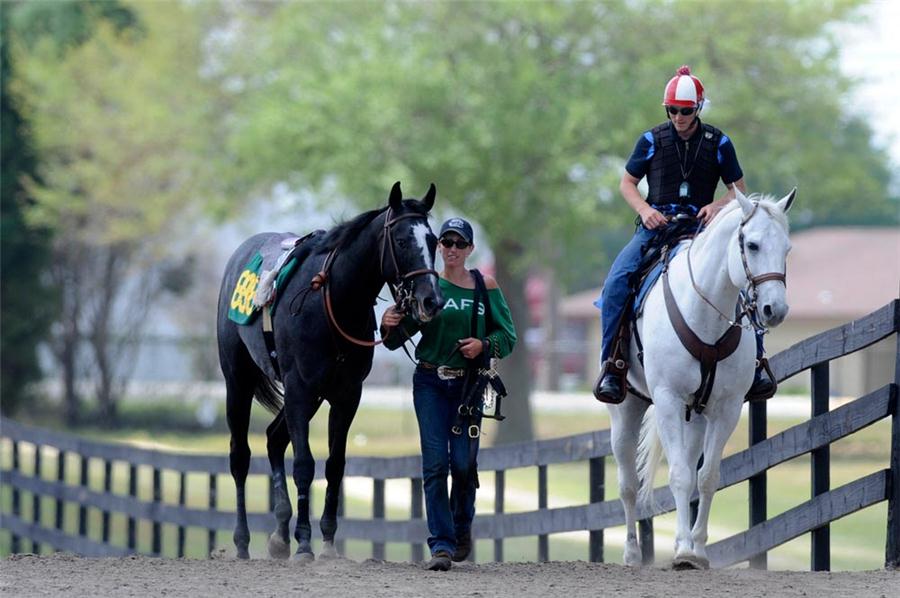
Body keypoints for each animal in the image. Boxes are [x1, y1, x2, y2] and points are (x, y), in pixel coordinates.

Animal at [218, 183, 442, 564]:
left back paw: (279, 535)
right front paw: (305, 543)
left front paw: (326, 542)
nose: (431, 300)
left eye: (434, 240)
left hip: (310, 398)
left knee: (274, 438)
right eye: (400, 241)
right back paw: (243, 540)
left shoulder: (346, 394)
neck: (332, 300)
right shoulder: (298, 387)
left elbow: (335, 465)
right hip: (239, 381)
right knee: (240, 457)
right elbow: (304, 465)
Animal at [612, 189, 796, 572]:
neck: (705, 316)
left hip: (694, 416)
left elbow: (707, 477)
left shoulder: (726, 409)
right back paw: (632, 554)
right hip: (626, 410)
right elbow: (680, 475)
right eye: (752, 245)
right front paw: (683, 553)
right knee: (628, 484)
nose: (775, 310)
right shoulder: (667, 400)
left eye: (786, 249)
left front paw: (696, 549)